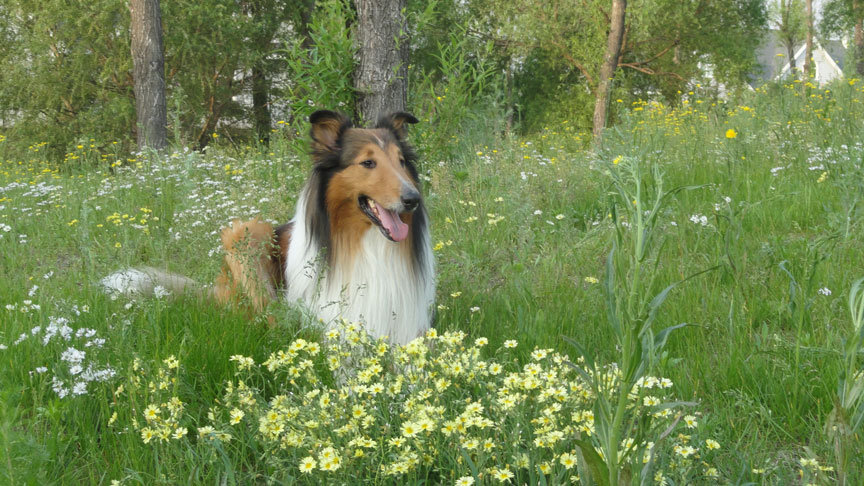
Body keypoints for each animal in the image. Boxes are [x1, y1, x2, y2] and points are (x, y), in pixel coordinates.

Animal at [104, 110, 436, 346]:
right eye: (368, 163)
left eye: (401, 161)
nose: (413, 199)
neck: (367, 244)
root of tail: (215, 288)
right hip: (248, 234)